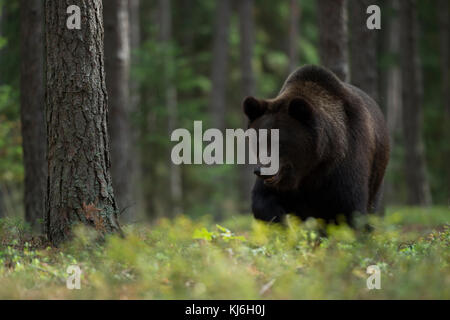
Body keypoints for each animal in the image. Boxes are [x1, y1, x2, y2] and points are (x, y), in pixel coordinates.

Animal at [244, 64, 388, 225]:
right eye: (258, 142)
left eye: (279, 143)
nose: (261, 170)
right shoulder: (283, 184)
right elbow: (263, 201)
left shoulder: (347, 159)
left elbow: (349, 209)